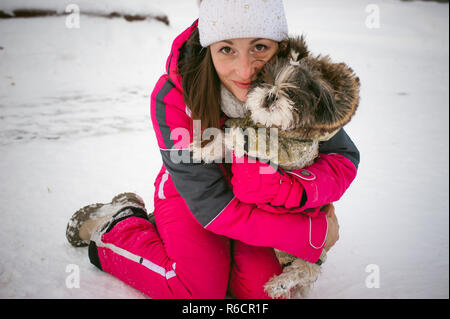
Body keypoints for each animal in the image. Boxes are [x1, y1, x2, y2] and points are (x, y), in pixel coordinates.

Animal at [192, 37, 360, 300]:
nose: (270, 95)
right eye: (265, 82)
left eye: (290, 92)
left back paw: (278, 284)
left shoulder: (287, 149)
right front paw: (205, 149)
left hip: (311, 253)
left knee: (305, 269)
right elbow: (224, 138)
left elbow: (244, 139)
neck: (269, 125)